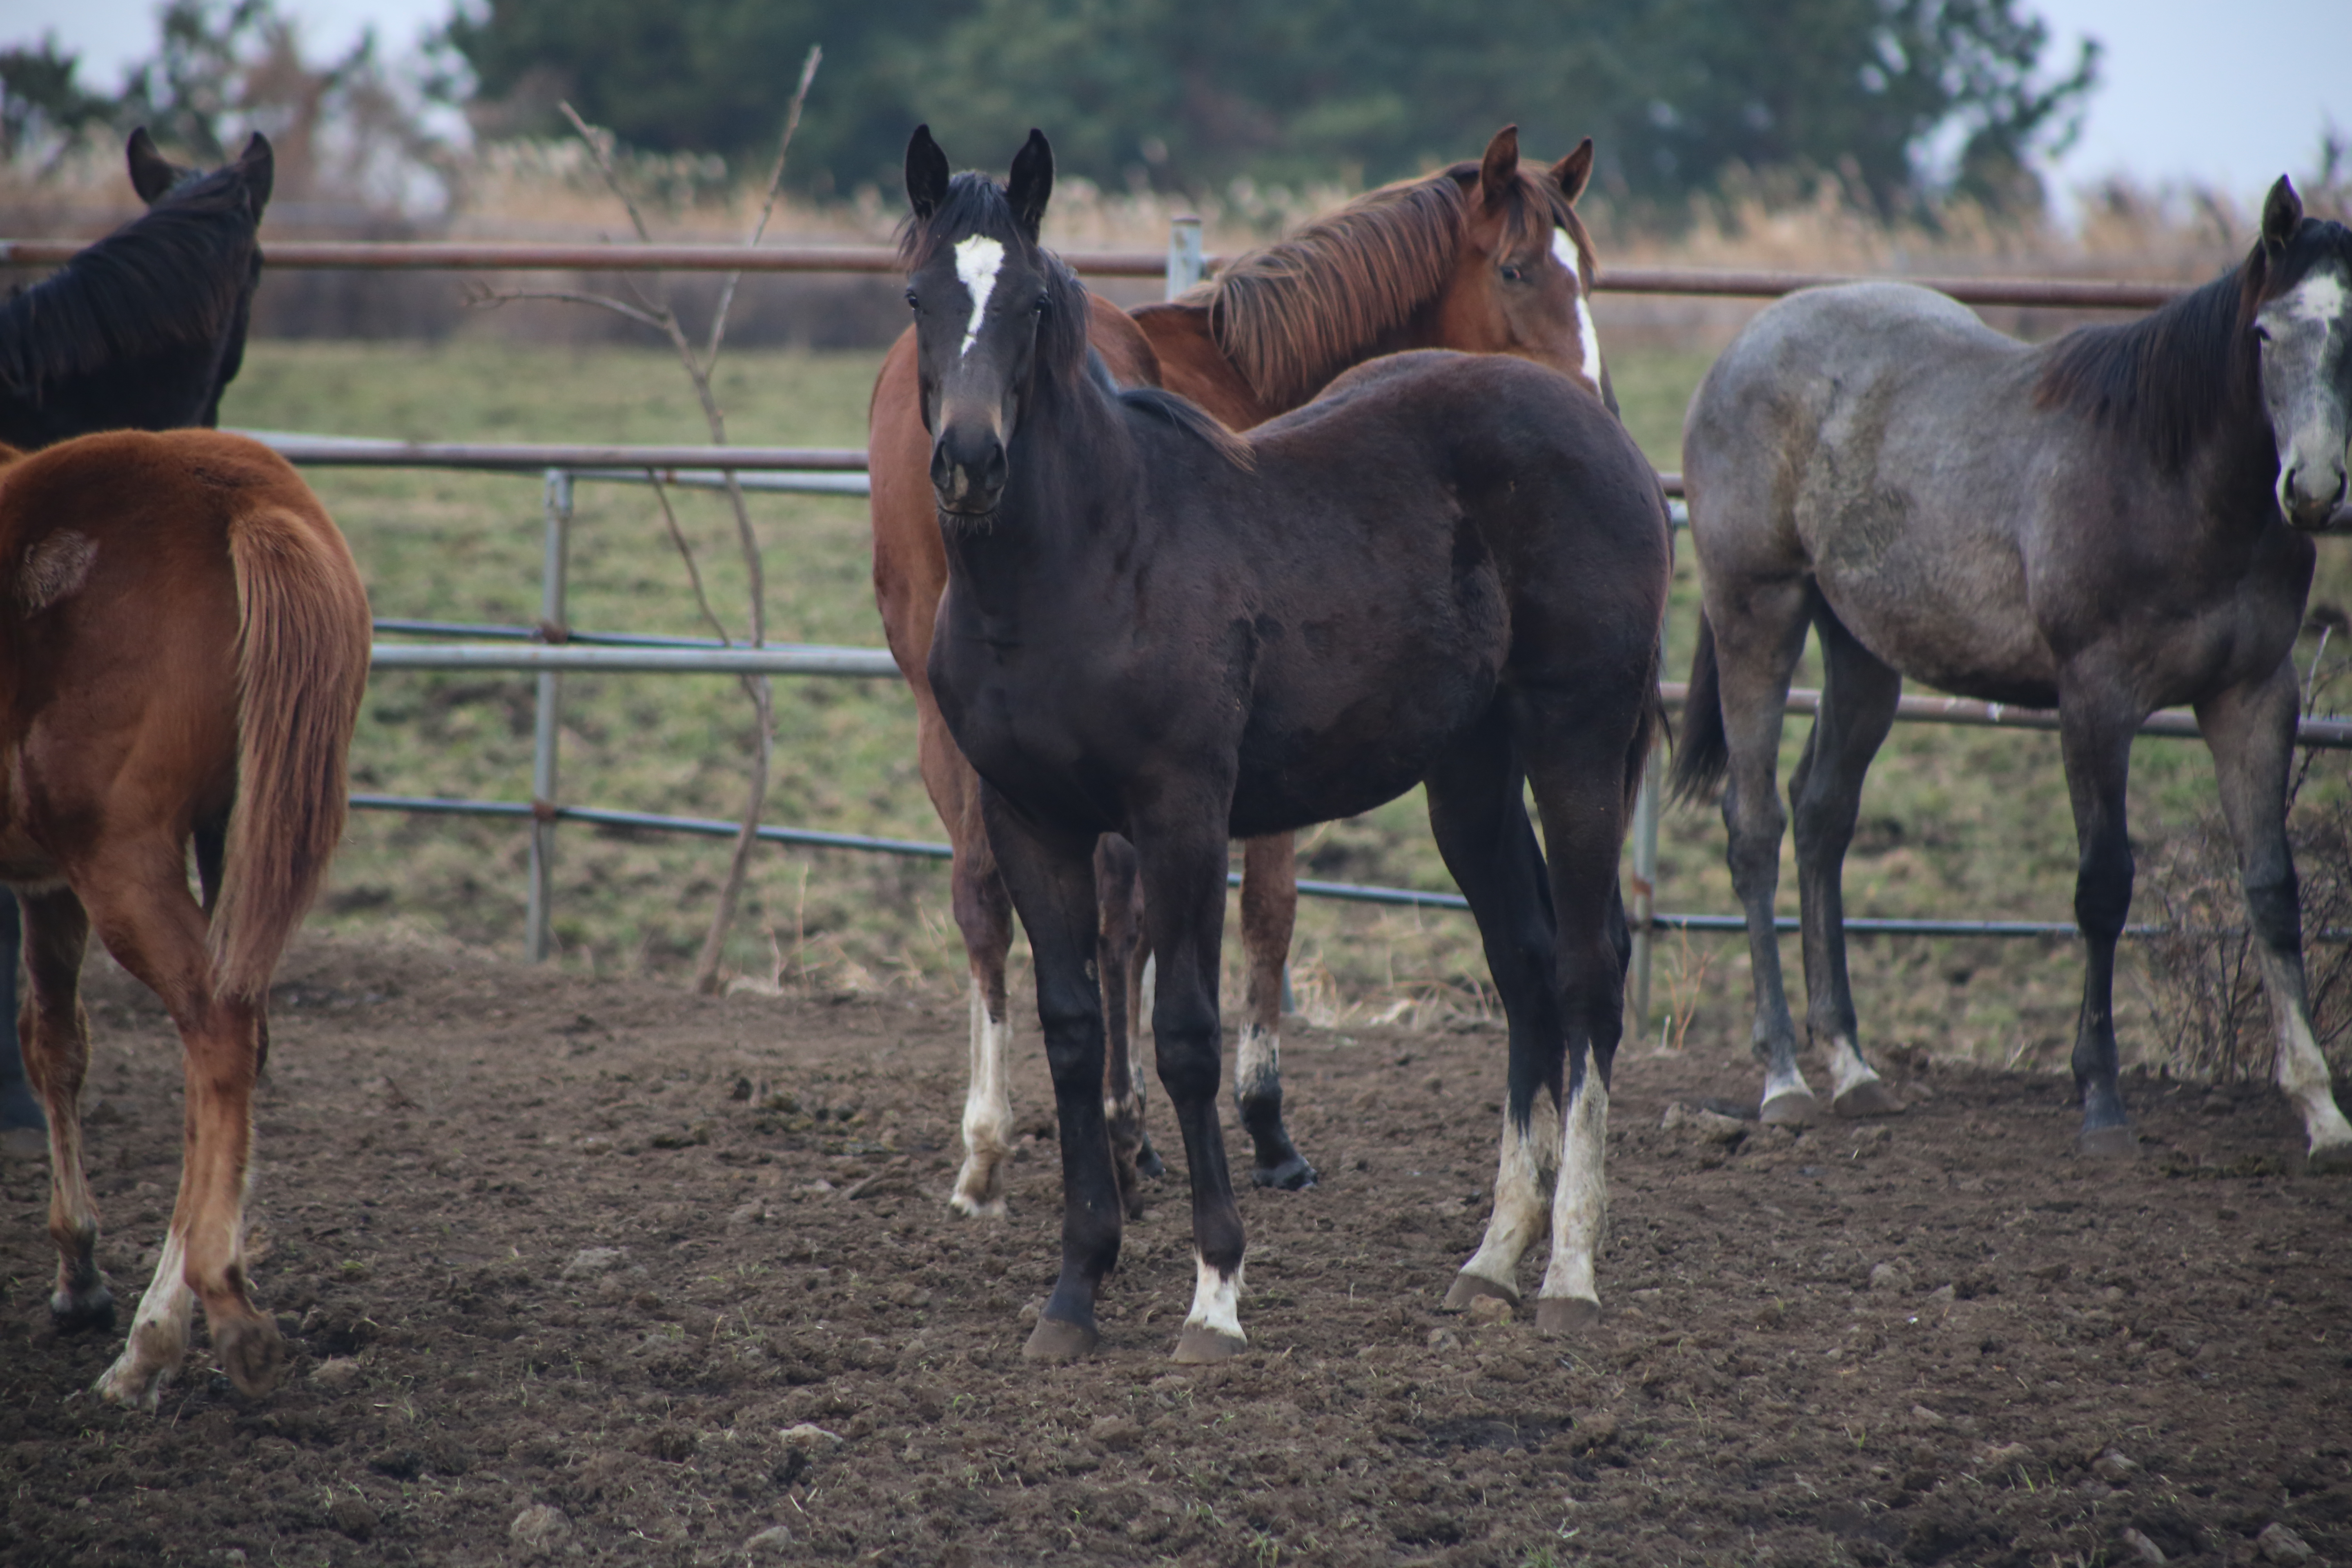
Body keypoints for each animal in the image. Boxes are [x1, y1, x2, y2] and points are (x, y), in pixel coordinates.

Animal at [1, 430, 372, 1410]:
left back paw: (202, 1318)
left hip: (124, 858)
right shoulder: (46, 888)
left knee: (215, 1026)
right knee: (237, 1036)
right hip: (230, 834)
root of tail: (233, 492)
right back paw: (163, 1327)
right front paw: (79, 1273)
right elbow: (54, 1043)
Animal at [898, 131, 1675, 1363]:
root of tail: (1601, 433)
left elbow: (1184, 1036)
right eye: (919, 297)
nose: (969, 462)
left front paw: (1215, 1294)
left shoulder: (1180, 811)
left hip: (1579, 744)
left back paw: (1568, 1271)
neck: (1082, 559)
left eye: (1030, 304)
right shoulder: (1032, 819)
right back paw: (1491, 1259)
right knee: (1525, 965)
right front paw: (1074, 1290)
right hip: (1469, 775)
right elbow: (1071, 1031)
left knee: (1589, 971)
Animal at [1675, 177, 2352, 1171]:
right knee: (1755, 824)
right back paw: (1785, 1080)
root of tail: (1739, 351)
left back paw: (1853, 1067)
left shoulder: (2255, 697)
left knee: (1822, 814)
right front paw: (2101, 1101)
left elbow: (2272, 888)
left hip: (1863, 649)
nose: (2312, 489)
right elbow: (2104, 886)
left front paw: (2319, 1109)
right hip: (1756, 611)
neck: (2170, 479)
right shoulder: (2096, 700)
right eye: (2265, 334)